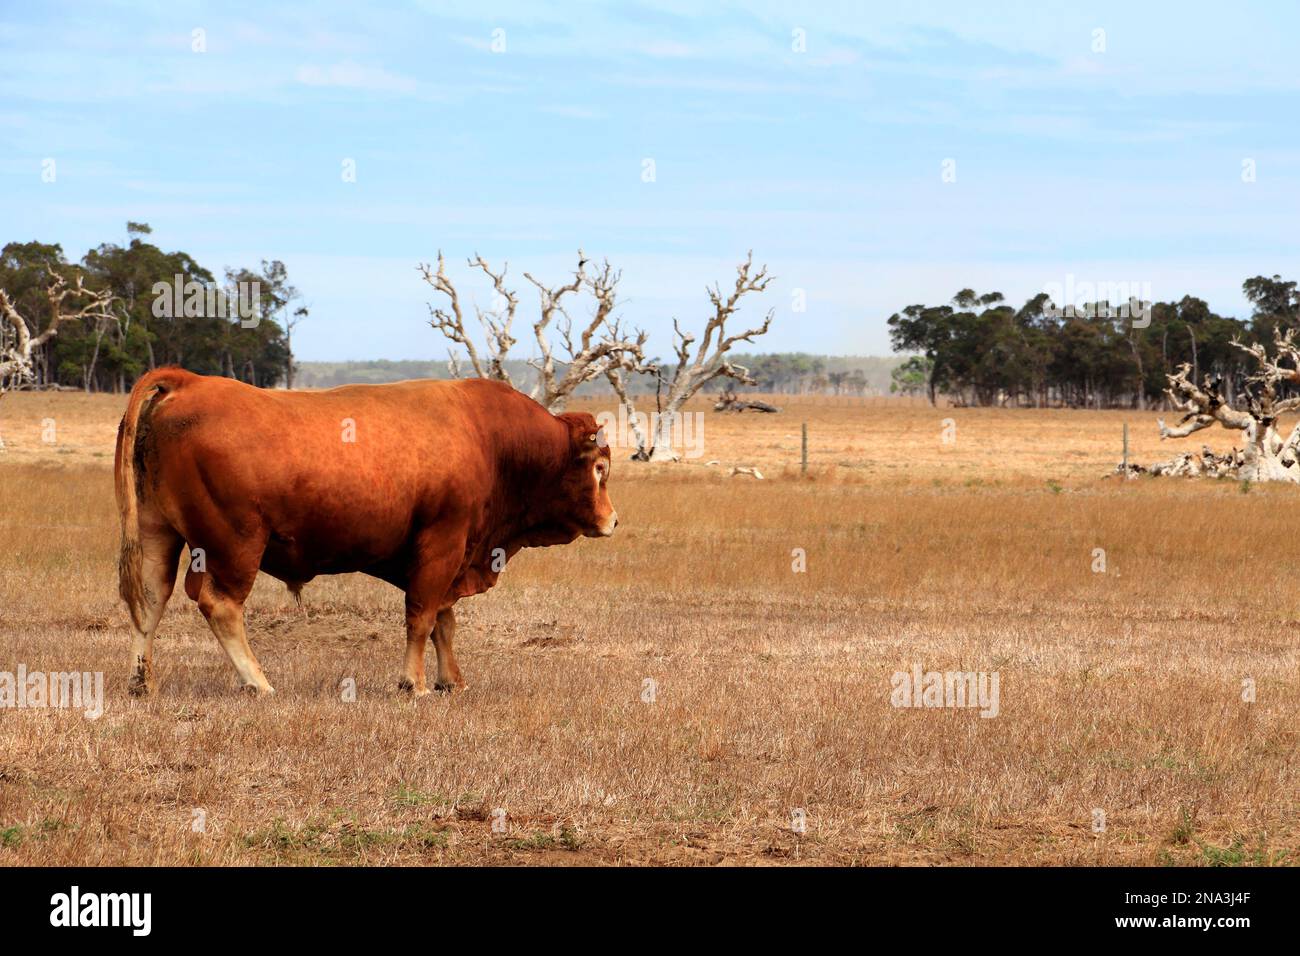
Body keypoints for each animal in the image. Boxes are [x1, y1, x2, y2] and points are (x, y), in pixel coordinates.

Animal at [114, 371, 616, 697]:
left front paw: (450, 680)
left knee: (149, 599)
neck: (488, 437)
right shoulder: (442, 545)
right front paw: (414, 684)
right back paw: (259, 683)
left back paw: (142, 682)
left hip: (159, 532)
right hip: (235, 547)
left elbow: (444, 621)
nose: (613, 520)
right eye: (599, 469)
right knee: (220, 606)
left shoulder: (449, 558)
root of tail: (189, 381)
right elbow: (423, 617)